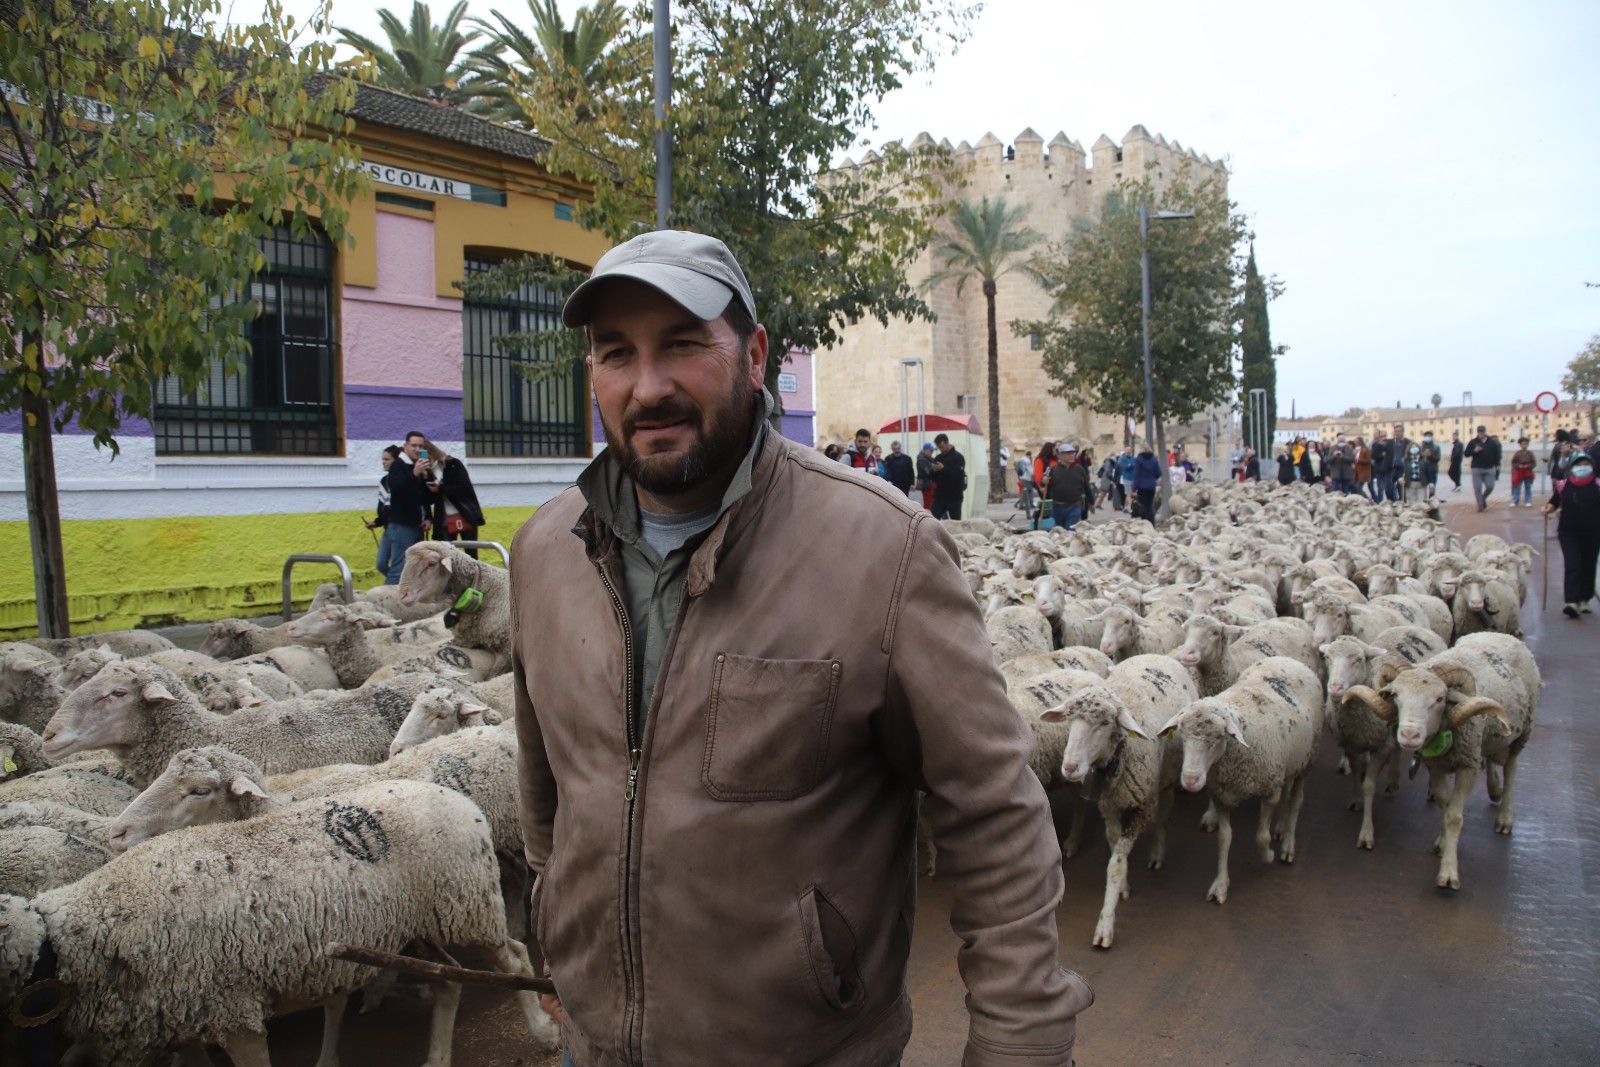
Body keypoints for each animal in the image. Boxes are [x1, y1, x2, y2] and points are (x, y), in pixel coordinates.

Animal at [1158, 659, 1318, 902]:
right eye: (1182, 735)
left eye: (1217, 737)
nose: (1190, 780)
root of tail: (1287, 659)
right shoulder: (1222, 796)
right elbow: (1224, 839)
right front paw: (1220, 885)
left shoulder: (1269, 790)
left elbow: (1261, 836)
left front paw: (1268, 855)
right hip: (1289, 762)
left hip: (1306, 761)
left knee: (1297, 801)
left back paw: (1288, 844)